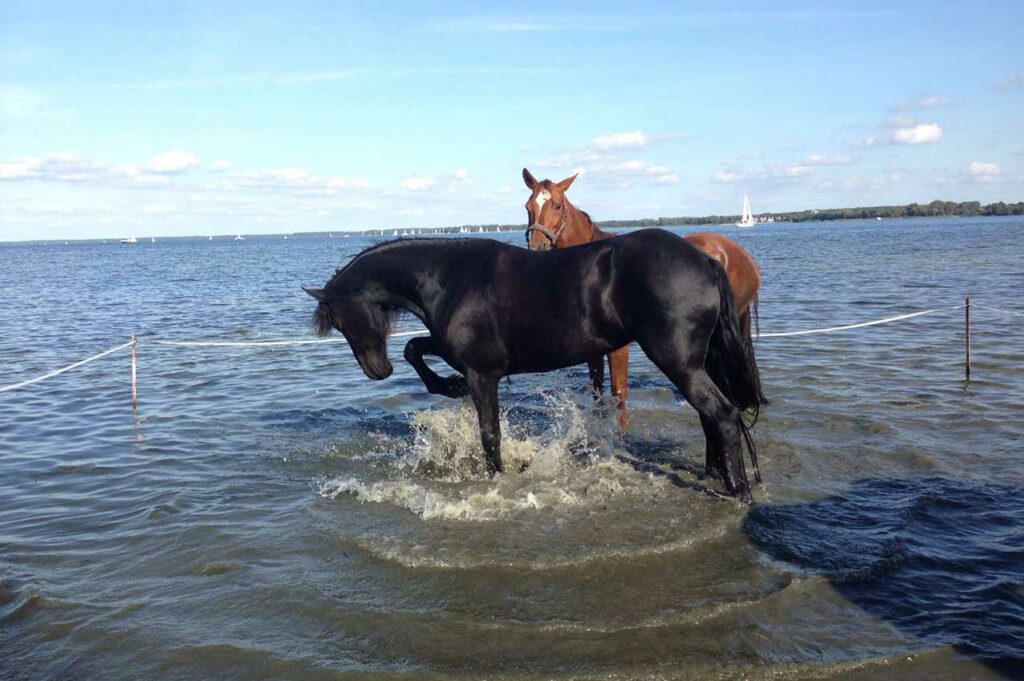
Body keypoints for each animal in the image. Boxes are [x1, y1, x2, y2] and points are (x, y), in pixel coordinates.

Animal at [305, 228, 770, 499]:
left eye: (343, 319)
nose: (375, 371)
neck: (451, 277)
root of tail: (706, 259)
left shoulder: (483, 374)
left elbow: (490, 435)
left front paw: (496, 478)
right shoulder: (455, 354)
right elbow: (414, 350)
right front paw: (447, 386)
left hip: (677, 361)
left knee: (722, 414)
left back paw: (738, 492)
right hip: (694, 362)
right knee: (712, 417)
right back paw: (716, 475)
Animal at [524, 164, 765, 428]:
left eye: (557, 205)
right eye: (528, 206)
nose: (537, 246)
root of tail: (741, 255)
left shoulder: (619, 349)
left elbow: (619, 393)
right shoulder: (593, 351)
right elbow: (597, 391)